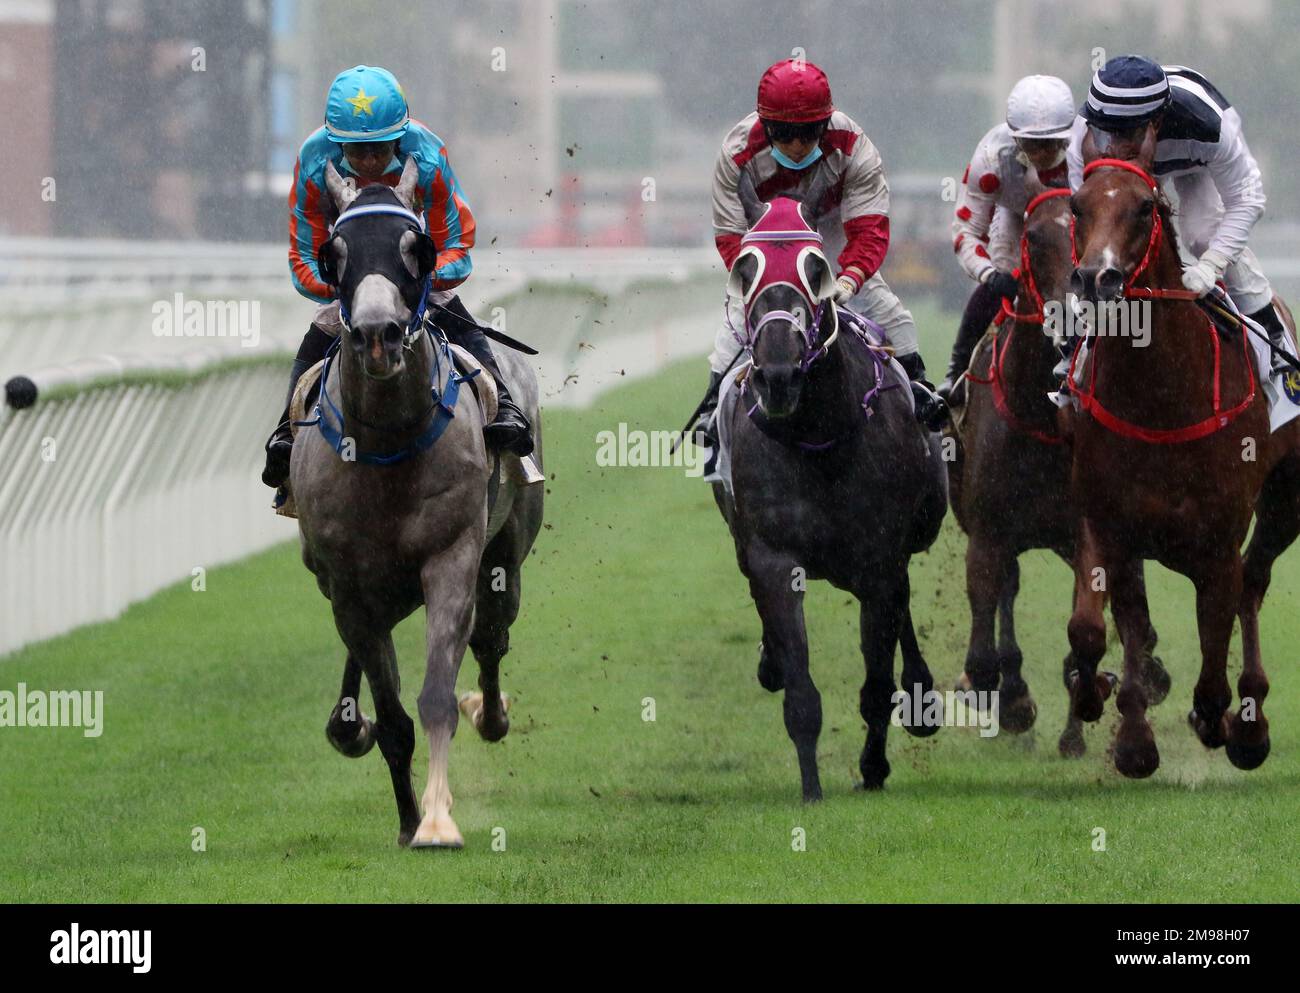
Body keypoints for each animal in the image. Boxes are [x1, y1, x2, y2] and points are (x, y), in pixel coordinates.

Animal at [291, 157, 543, 847]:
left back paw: (490, 711)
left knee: (491, 638)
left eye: (416, 247)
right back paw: (348, 722)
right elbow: (393, 715)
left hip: (506, 554)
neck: (387, 449)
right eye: (334, 252)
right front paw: (408, 818)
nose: (378, 335)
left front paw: (435, 819)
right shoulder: (349, 587)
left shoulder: (450, 559)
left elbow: (435, 696)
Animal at [712, 196, 946, 800]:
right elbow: (800, 692)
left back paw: (922, 698)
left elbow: (876, 682)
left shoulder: (878, 557)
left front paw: (873, 767)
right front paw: (812, 788)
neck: (817, 437)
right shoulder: (773, 558)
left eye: (815, 269)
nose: (777, 374)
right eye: (745, 270)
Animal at [946, 184, 1170, 753]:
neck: (1039, 415)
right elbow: (986, 635)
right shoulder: (988, 531)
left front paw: (1080, 718)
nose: (1073, 318)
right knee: (1008, 593)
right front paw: (1006, 697)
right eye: (1031, 237)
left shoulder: (1085, 533)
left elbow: (1088, 633)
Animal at [1066, 139, 1300, 779]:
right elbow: (1106, 631)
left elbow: (1214, 656)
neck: (1162, 398)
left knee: (1253, 582)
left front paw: (1224, 720)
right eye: (1076, 204)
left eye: (1146, 207)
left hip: (1284, 504)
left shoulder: (1217, 541)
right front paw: (1126, 730)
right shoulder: (1111, 525)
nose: (1096, 277)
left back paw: (1249, 724)